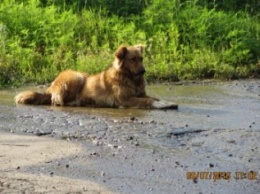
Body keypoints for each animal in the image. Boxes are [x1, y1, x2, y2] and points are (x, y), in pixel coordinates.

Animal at [14, 45, 178, 110]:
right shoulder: (125, 100)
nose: (144, 71)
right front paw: (162, 105)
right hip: (77, 76)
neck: (130, 78)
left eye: (141, 59)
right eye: (132, 59)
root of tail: (49, 88)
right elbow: (148, 100)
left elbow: (153, 98)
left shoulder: (140, 94)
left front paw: (167, 102)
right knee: (58, 100)